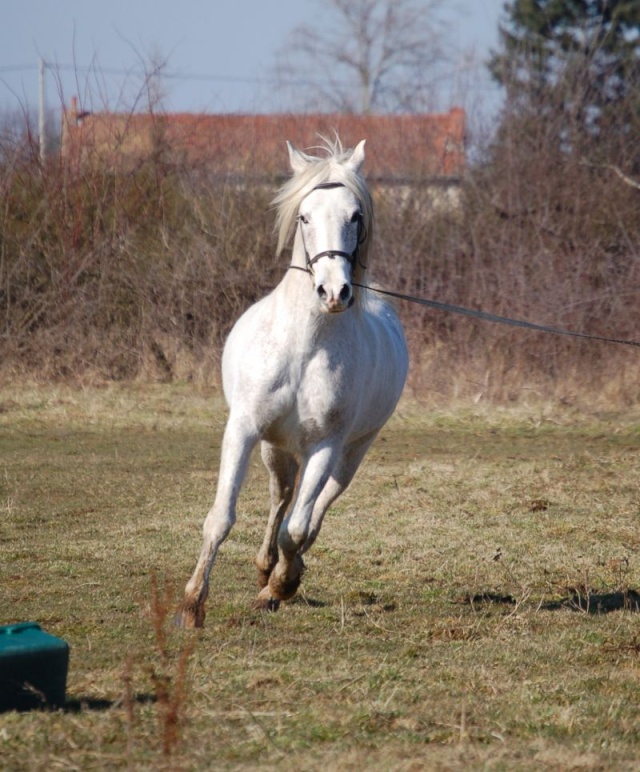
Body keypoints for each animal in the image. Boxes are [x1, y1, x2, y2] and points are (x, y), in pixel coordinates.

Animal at [176, 139, 404, 628]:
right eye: (304, 216)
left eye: (355, 215)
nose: (334, 292)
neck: (305, 346)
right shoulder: (244, 430)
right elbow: (221, 517)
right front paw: (192, 605)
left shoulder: (325, 446)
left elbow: (297, 528)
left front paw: (281, 586)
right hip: (274, 447)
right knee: (281, 495)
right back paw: (265, 568)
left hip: (350, 454)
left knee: (313, 511)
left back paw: (282, 577)